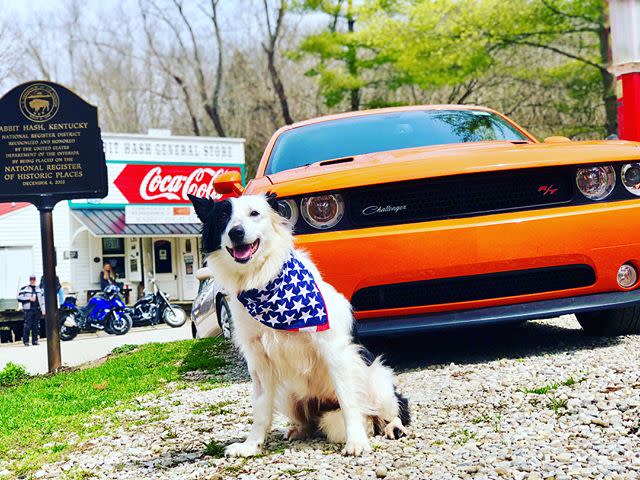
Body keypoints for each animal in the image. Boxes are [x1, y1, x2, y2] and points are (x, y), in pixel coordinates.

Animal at [190, 193, 410, 456]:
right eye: (223, 216)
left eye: (254, 213)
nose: (236, 232)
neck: (261, 280)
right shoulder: (259, 361)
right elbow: (260, 409)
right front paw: (251, 445)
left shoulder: (333, 349)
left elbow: (349, 400)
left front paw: (356, 441)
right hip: (289, 393)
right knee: (311, 420)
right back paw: (299, 429)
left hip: (375, 375)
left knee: (394, 406)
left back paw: (392, 426)